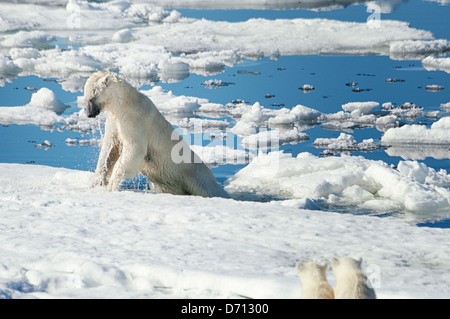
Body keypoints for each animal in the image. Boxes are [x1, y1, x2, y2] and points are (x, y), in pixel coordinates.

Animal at [84, 71, 230, 199]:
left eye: (91, 98)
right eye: (85, 99)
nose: (89, 114)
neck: (124, 102)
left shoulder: (135, 120)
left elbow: (135, 150)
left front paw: (112, 185)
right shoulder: (114, 122)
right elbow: (110, 150)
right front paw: (96, 182)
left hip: (195, 175)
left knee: (209, 189)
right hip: (169, 182)